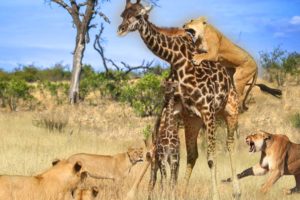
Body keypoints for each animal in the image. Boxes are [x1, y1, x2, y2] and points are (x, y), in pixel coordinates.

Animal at [118, 0, 241, 199]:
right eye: (122, 14)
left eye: (138, 15)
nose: (120, 29)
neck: (177, 59)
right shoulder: (177, 108)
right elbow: (156, 150)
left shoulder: (208, 109)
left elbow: (211, 158)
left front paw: (215, 195)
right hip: (193, 121)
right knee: (192, 154)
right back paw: (182, 191)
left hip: (231, 110)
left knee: (230, 144)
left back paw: (237, 191)